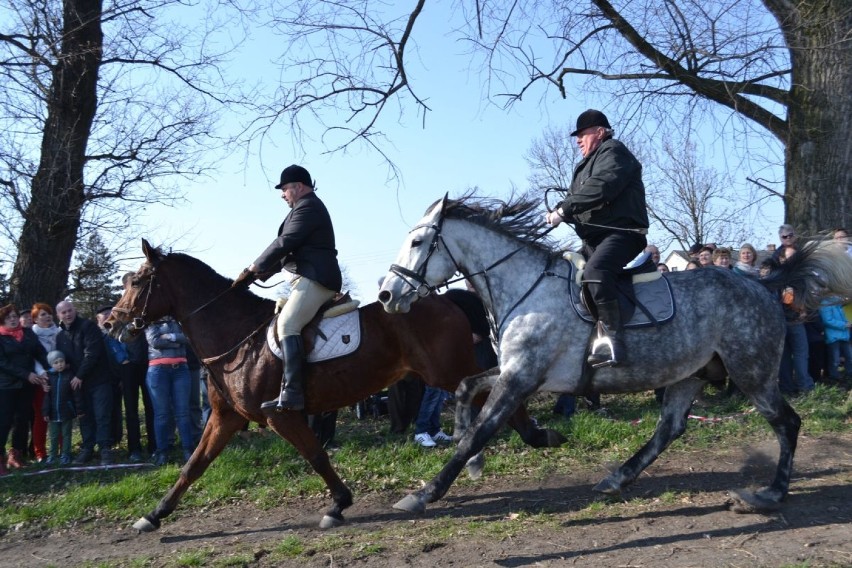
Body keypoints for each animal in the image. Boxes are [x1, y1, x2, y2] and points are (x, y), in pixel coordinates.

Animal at [108, 240, 564, 532]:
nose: (110, 322)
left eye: (138, 281)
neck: (235, 336)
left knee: (500, 394)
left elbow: (316, 456)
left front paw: (339, 504)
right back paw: (537, 434)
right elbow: (193, 466)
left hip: (447, 372)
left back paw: (538, 434)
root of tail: (447, 297)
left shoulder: (282, 416)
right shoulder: (226, 418)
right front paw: (154, 514)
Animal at [380, 194, 852, 516]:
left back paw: (769, 494)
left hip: (752, 372)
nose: (387, 294)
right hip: (690, 373)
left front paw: (425, 492)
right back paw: (617, 477)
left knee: (787, 424)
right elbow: (465, 388)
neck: (524, 287)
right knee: (669, 429)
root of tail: (764, 285)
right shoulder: (517, 372)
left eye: (418, 241)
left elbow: (481, 429)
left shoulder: (521, 376)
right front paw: (486, 451)